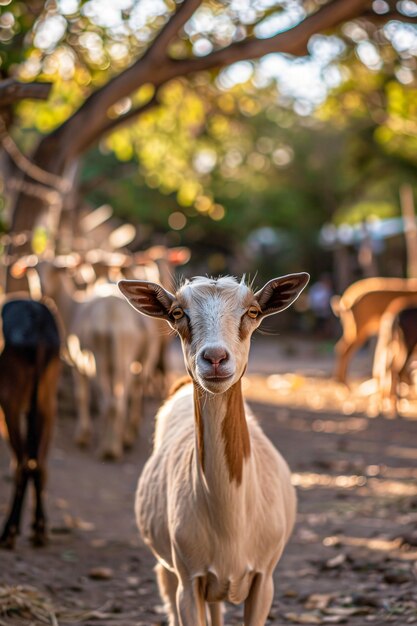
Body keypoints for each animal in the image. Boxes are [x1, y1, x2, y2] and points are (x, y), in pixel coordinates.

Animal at [118, 272, 308, 624]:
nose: (215, 358)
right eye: (177, 313)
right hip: (168, 569)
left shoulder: (264, 578)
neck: (231, 528)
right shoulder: (188, 577)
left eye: (253, 312)